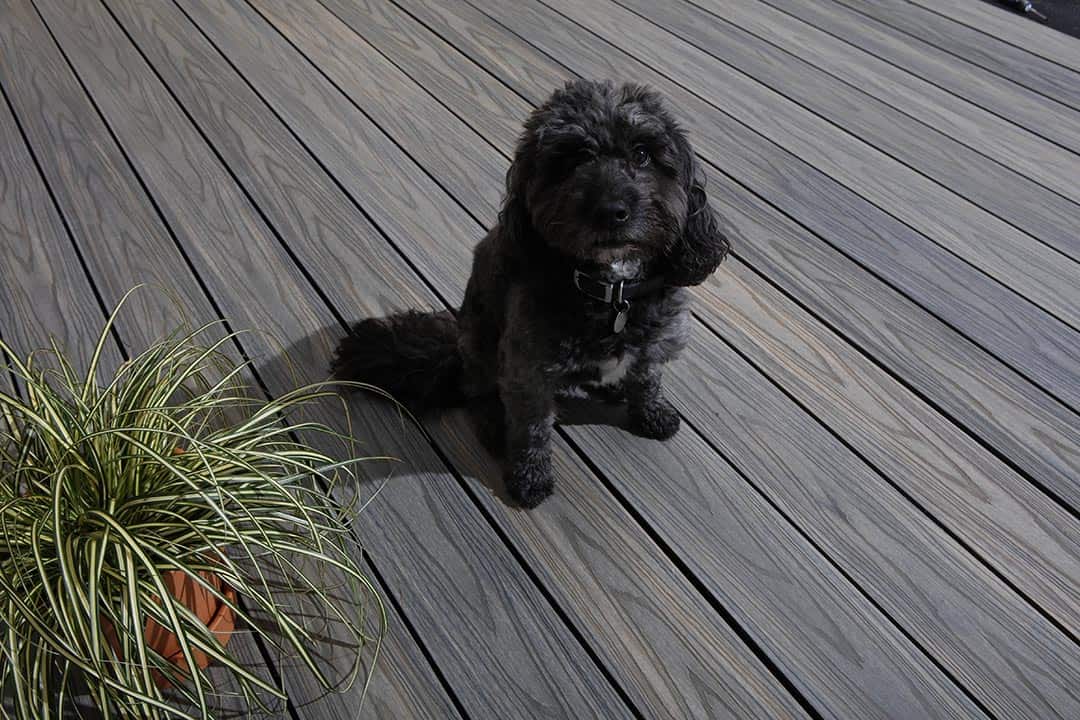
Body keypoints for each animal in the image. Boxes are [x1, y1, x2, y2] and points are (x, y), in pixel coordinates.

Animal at [332, 80, 730, 507]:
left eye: (642, 154)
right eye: (572, 160)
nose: (611, 210)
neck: (611, 289)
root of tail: (453, 348)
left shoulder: (657, 340)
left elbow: (648, 378)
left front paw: (652, 412)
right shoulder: (529, 370)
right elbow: (531, 429)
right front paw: (530, 477)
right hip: (481, 343)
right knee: (478, 389)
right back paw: (494, 425)